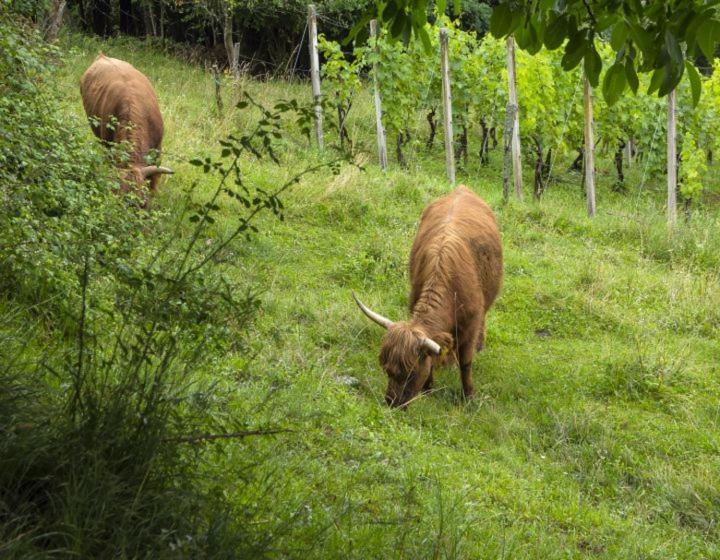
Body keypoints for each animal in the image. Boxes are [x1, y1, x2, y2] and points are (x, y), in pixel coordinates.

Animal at [352, 186, 500, 410]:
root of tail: (462, 189)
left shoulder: (470, 324)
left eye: (411, 373)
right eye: (387, 369)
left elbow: (466, 363)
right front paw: (428, 388)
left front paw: (469, 396)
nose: (392, 403)